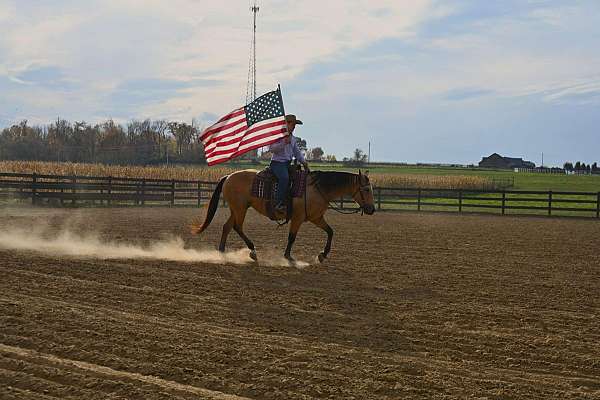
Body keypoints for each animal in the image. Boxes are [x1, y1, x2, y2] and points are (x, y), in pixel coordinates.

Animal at [191, 169, 376, 262]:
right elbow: (292, 237)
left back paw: (223, 251)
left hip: (237, 209)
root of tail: (228, 176)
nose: (372, 209)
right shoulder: (298, 218)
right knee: (237, 226)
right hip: (240, 208)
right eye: (367, 189)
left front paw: (323, 255)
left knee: (228, 226)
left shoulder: (316, 218)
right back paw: (252, 251)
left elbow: (330, 231)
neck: (317, 188)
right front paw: (288, 256)